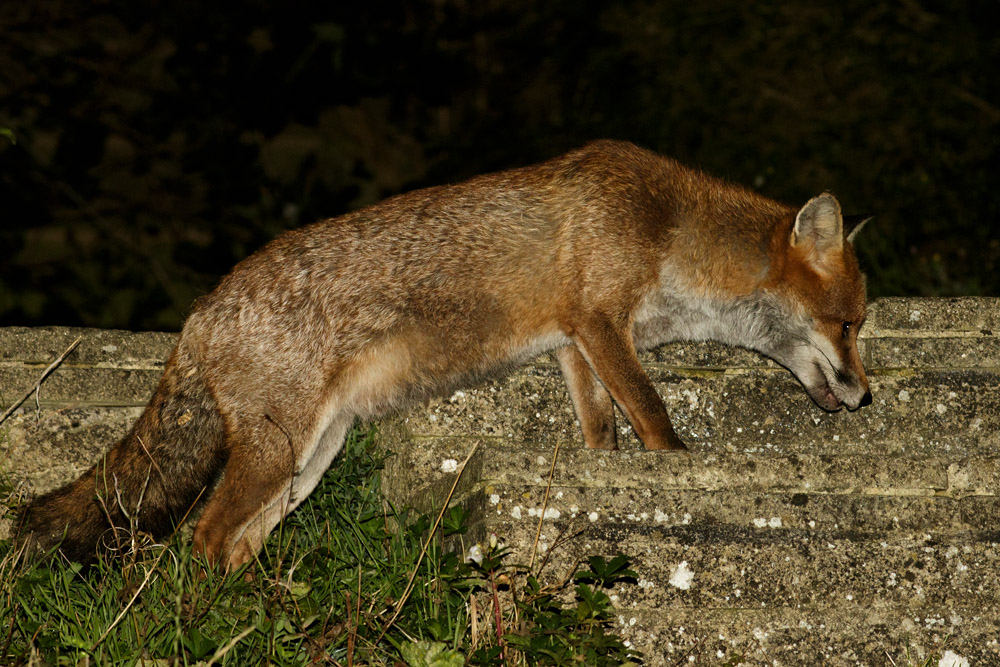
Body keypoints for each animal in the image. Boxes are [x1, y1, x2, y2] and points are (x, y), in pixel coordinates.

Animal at [19, 140, 871, 570]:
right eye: (849, 325)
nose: (868, 397)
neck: (668, 225)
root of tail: (199, 313)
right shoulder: (600, 319)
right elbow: (654, 415)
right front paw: (676, 470)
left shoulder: (574, 342)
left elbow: (601, 430)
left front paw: (605, 473)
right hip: (278, 452)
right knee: (203, 536)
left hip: (308, 460)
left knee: (237, 542)